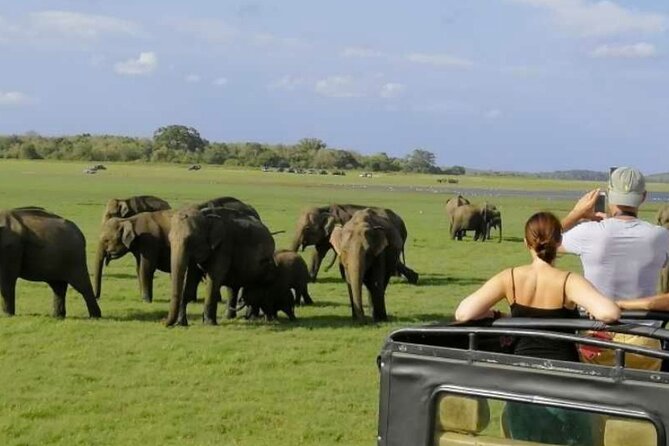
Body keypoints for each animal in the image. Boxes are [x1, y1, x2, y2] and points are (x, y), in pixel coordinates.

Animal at [290, 204, 418, 284]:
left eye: (306, 228)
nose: (326, 269)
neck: (325, 209)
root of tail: (402, 222)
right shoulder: (326, 235)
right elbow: (318, 253)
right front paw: (310, 279)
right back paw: (412, 278)